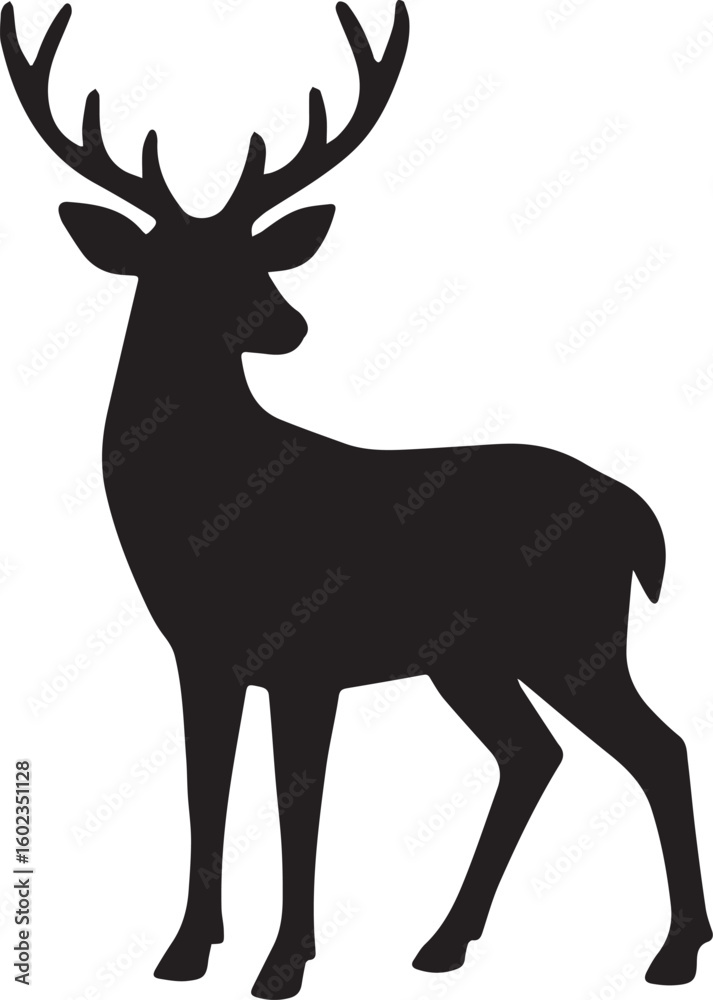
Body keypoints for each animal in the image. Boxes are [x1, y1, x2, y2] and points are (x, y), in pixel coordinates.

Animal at [3, 1, 710, 995]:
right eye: (172, 266)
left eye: (255, 256)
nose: (288, 324)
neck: (205, 506)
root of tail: (640, 520)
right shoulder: (200, 656)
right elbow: (203, 790)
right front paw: (185, 951)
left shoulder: (308, 655)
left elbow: (298, 804)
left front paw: (282, 963)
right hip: (475, 658)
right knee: (533, 754)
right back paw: (445, 941)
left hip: (571, 632)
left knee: (657, 746)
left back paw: (673, 951)